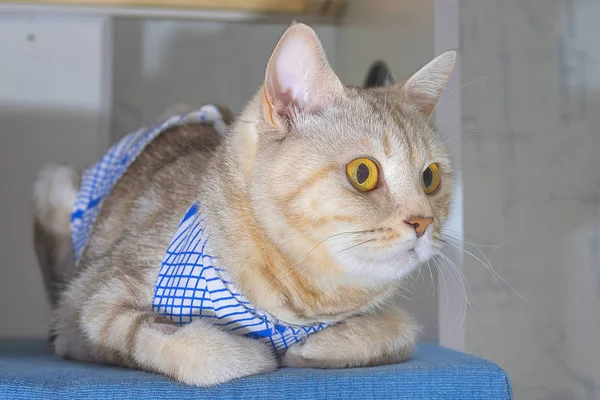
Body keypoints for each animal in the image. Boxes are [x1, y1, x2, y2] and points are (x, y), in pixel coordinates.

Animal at [32, 22, 454, 388]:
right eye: (363, 172)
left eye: (430, 178)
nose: (422, 222)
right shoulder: (86, 305)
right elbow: (190, 349)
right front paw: (255, 351)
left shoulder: (393, 322)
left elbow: (397, 332)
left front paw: (315, 345)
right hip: (53, 184)